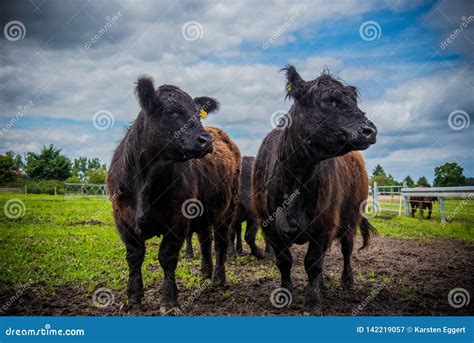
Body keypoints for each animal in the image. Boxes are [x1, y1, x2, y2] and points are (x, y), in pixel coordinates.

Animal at [107, 76, 241, 316]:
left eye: (198, 114)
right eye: (171, 111)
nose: (206, 140)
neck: (146, 179)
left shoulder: (178, 219)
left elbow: (167, 257)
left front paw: (169, 301)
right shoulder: (121, 218)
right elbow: (134, 256)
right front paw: (133, 298)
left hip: (227, 211)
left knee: (221, 243)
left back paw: (218, 279)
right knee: (205, 241)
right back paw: (204, 275)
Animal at [254, 66, 380, 314]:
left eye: (353, 100)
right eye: (329, 100)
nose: (369, 130)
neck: (295, 177)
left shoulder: (324, 224)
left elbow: (312, 263)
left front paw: (312, 302)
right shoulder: (269, 225)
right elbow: (284, 261)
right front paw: (285, 295)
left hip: (351, 218)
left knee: (346, 249)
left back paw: (346, 281)